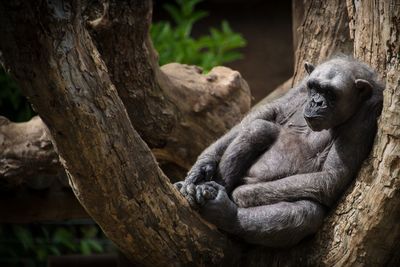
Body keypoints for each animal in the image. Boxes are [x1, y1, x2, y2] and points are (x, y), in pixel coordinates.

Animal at [175, 55, 384, 248]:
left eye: (330, 93)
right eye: (314, 88)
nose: (316, 102)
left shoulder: (367, 113)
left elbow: (332, 176)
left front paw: (240, 194)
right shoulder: (300, 87)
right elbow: (269, 112)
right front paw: (201, 168)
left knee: (305, 212)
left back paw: (223, 210)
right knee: (258, 128)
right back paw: (207, 187)